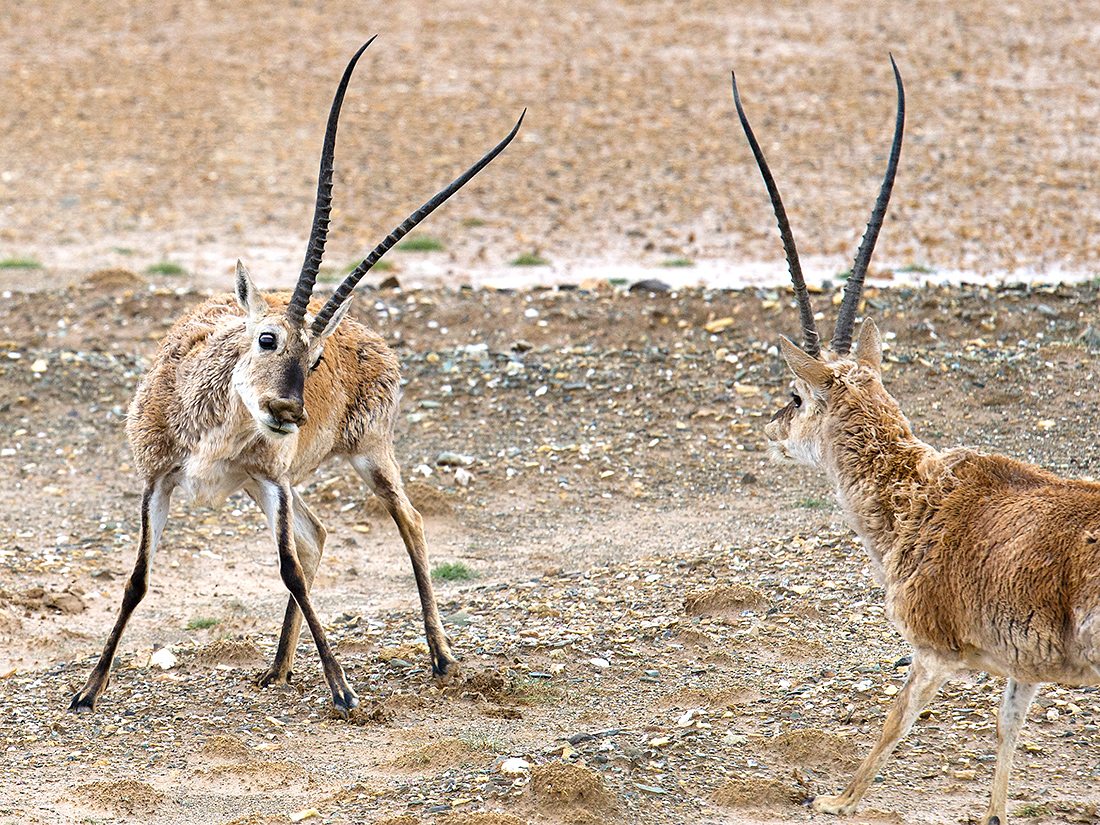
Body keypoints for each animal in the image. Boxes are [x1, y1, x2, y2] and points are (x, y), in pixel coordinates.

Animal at [69, 37, 523, 717]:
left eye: (314, 361)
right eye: (268, 339)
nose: (288, 413)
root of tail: (372, 339)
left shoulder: (274, 479)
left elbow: (285, 566)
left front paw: (343, 689)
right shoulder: (159, 481)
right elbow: (138, 580)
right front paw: (89, 691)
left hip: (360, 457)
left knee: (405, 522)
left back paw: (442, 658)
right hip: (269, 486)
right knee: (316, 537)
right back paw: (278, 668)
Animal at [734, 59, 1100, 825]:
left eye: (795, 395)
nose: (771, 427)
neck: (921, 494)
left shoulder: (931, 651)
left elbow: (895, 718)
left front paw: (837, 797)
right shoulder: (1022, 670)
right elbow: (1007, 730)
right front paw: (993, 813)